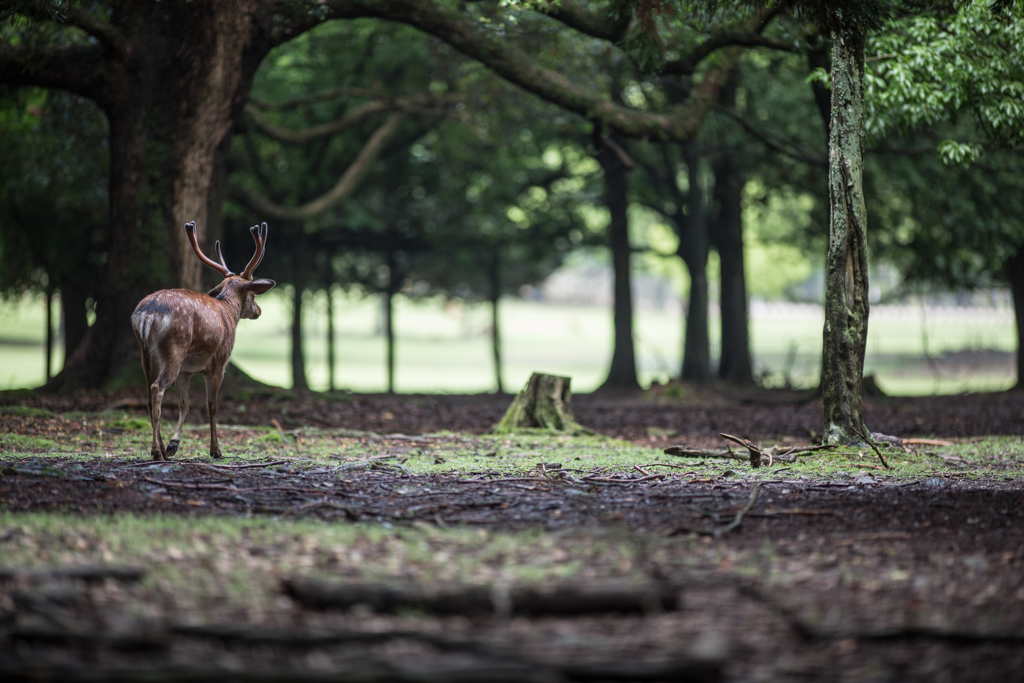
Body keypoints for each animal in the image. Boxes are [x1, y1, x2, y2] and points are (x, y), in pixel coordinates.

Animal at [132, 222, 276, 462]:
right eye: (254, 295)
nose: (258, 311)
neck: (229, 311)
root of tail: (146, 315)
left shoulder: (186, 371)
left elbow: (184, 404)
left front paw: (173, 444)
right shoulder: (219, 362)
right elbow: (212, 404)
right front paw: (216, 450)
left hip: (146, 355)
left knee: (149, 398)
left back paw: (160, 449)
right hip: (174, 349)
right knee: (156, 388)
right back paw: (156, 451)